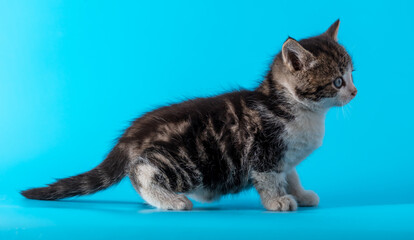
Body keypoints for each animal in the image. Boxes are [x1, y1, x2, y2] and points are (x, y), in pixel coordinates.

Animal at [21, 20, 356, 212]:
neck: (297, 110)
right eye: (337, 82)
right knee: (140, 172)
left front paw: (301, 193)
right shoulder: (265, 151)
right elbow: (269, 179)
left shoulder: (285, 157)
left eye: (353, 74)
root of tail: (131, 136)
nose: (354, 92)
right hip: (189, 163)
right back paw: (172, 201)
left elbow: (292, 174)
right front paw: (277, 201)